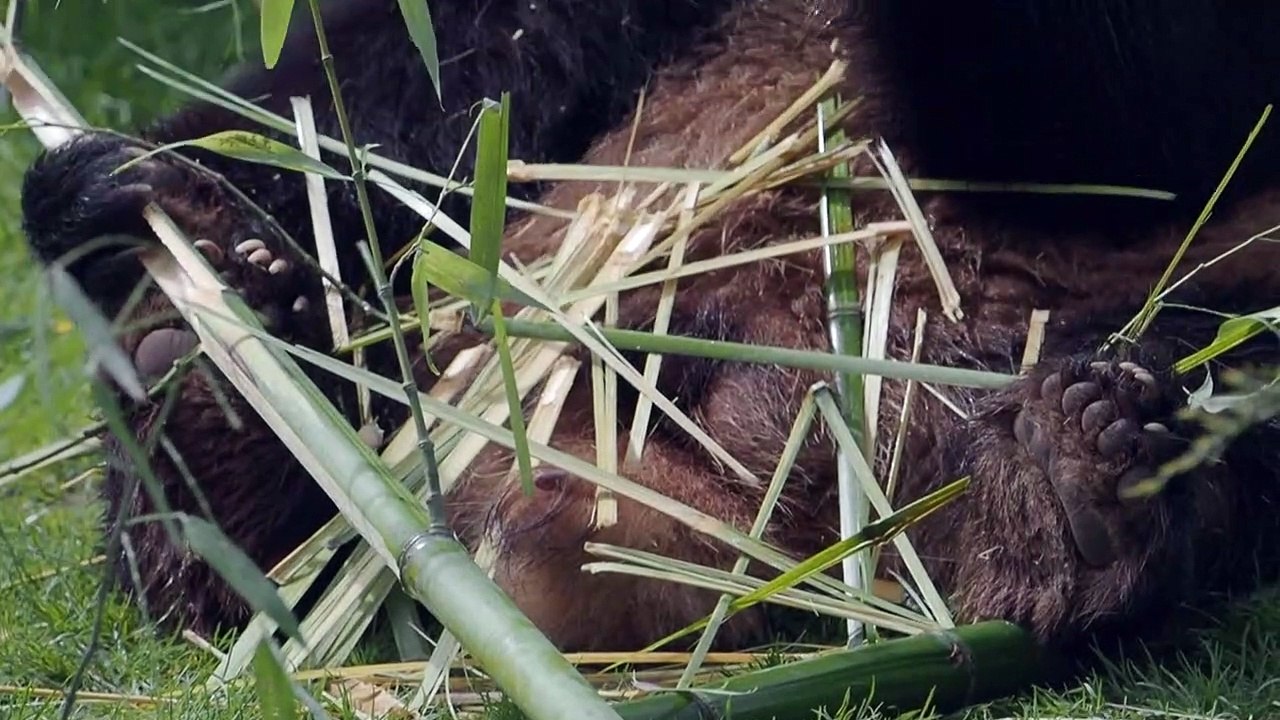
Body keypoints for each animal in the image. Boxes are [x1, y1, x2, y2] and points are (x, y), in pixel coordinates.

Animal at [19, 0, 1280, 655]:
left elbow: (1139, 109)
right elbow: (363, 99)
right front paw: (118, 202)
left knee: (1220, 382)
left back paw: (1066, 494)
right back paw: (205, 396)